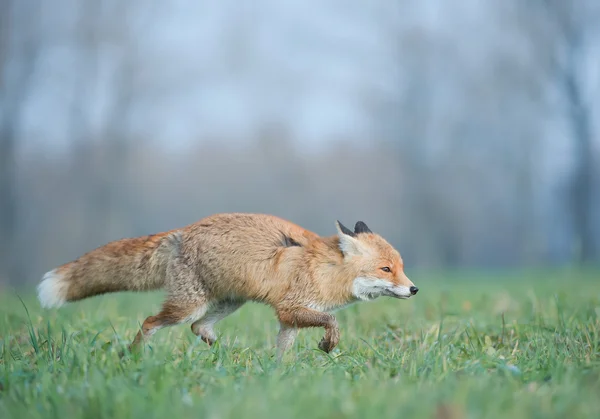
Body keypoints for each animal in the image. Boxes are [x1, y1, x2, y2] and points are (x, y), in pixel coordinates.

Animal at [37, 215, 420, 360]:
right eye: (386, 269)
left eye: (401, 268)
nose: (414, 290)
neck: (326, 269)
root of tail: (184, 230)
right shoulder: (291, 308)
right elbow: (333, 322)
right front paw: (328, 344)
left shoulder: (288, 318)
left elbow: (283, 352)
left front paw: (279, 375)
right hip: (186, 305)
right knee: (150, 322)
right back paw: (133, 357)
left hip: (228, 304)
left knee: (198, 327)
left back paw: (220, 351)